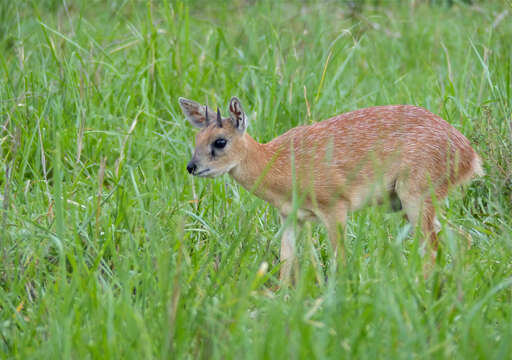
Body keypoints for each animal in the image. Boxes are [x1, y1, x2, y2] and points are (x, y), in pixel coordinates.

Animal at [180, 97, 484, 282]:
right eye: (197, 138)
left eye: (220, 141)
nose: (192, 167)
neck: (278, 164)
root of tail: (471, 156)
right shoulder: (290, 216)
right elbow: (287, 262)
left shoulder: (335, 206)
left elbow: (341, 259)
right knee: (462, 237)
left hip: (417, 195)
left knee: (432, 249)